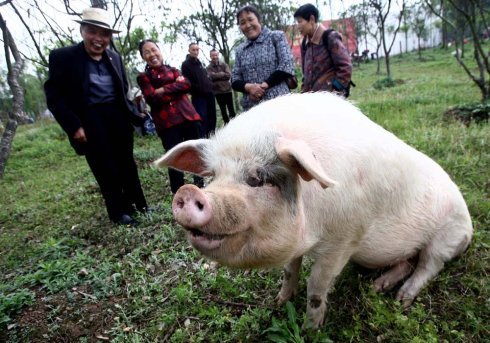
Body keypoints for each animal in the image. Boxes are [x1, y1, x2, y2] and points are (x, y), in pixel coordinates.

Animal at [155, 92, 472, 330]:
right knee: (406, 262)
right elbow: (288, 270)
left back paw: (401, 300)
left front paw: (311, 328)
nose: (187, 193)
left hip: (448, 236)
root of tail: (469, 225)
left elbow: (317, 286)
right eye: (212, 176)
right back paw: (377, 288)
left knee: (428, 265)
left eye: (257, 178)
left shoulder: (345, 238)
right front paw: (278, 302)